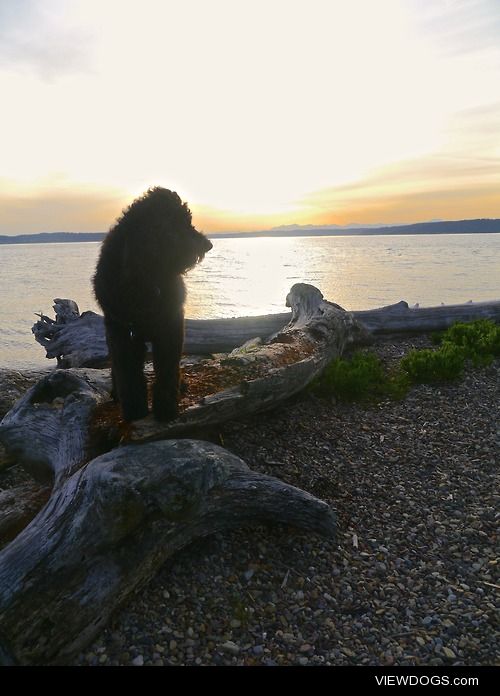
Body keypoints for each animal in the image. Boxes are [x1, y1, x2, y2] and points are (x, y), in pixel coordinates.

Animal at [93, 188, 212, 422]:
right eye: (181, 223)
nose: (208, 244)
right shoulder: (122, 333)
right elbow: (128, 374)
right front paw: (134, 411)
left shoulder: (170, 327)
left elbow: (167, 369)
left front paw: (166, 409)